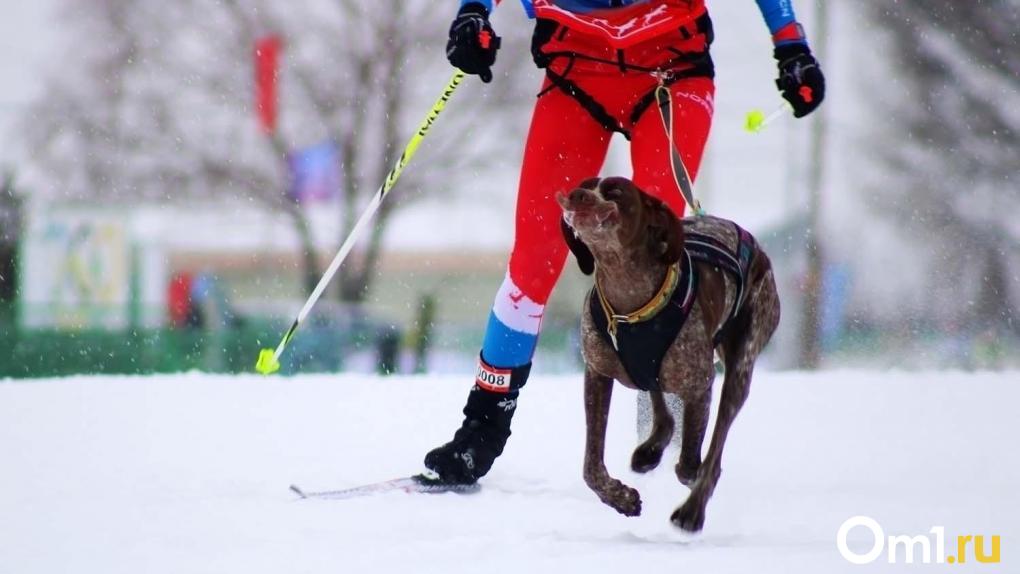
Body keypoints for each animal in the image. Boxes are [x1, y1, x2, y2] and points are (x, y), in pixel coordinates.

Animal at [558, 176, 779, 534]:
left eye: (615, 190)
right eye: (585, 184)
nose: (577, 195)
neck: (628, 301)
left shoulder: (699, 385)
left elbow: (692, 461)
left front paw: (690, 484)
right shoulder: (597, 375)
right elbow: (591, 466)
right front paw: (621, 498)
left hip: (741, 366)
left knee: (713, 449)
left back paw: (692, 510)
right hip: (654, 371)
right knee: (663, 413)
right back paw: (651, 450)